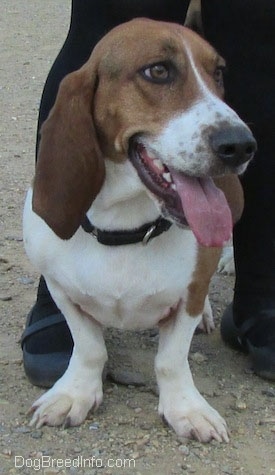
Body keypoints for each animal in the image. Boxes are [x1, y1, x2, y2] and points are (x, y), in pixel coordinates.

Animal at [23, 17, 256, 442]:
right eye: (158, 71)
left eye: (217, 73)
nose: (241, 145)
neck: (124, 230)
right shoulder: (61, 289)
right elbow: (89, 348)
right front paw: (73, 394)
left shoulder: (189, 295)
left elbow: (171, 359)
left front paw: (186, 408)